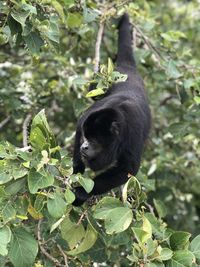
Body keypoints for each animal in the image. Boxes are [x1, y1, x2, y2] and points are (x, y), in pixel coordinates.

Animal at [72, 13, 151, 207]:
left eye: (93, 140)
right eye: (85, 137)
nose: (84, 146)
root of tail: (128, 69)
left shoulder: (133, 134)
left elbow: (128, 169)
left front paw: (82, 192)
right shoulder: (89, 116)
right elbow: (79, 126)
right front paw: (77, 173)